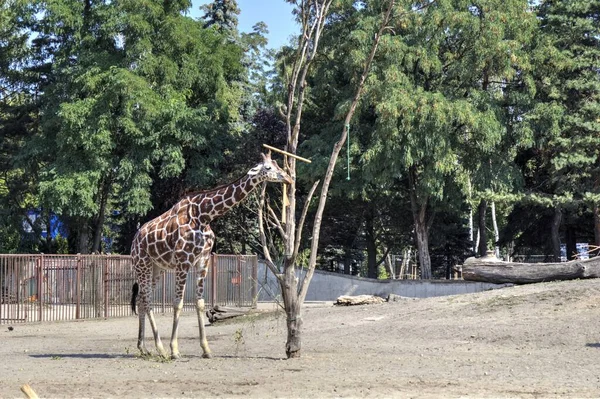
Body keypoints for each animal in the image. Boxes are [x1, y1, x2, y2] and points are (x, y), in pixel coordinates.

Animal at [131, 153, 292, 360]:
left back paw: (144, 348)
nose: (288, 178)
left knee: (142, 299)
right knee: (146, 300)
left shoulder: (203, 260)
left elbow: (200, 303)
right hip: (142, 264)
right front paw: (175, 350)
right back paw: (161, 349)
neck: (204, 215)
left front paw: (206, 349)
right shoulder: (183, 261)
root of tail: (135, 240)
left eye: (277, 164)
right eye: (268, 168)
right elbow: (178, 303)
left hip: (156, 268)